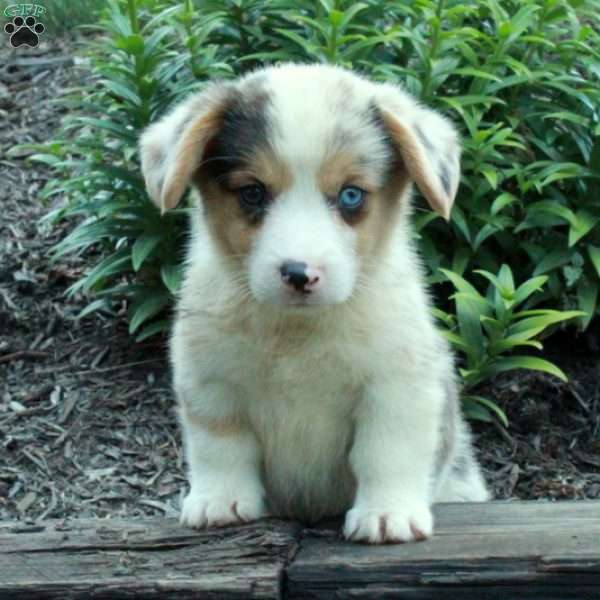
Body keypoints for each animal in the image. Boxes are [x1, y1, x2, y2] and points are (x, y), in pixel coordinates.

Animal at [139, 62, 488, 544]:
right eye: (252, 193)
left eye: (351, 195)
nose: (299, 274)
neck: (297, 333)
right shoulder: (211, 383)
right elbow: (221, 447)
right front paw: (219, 503)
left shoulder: (397, 387)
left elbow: (387, 452)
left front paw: (386, 514)